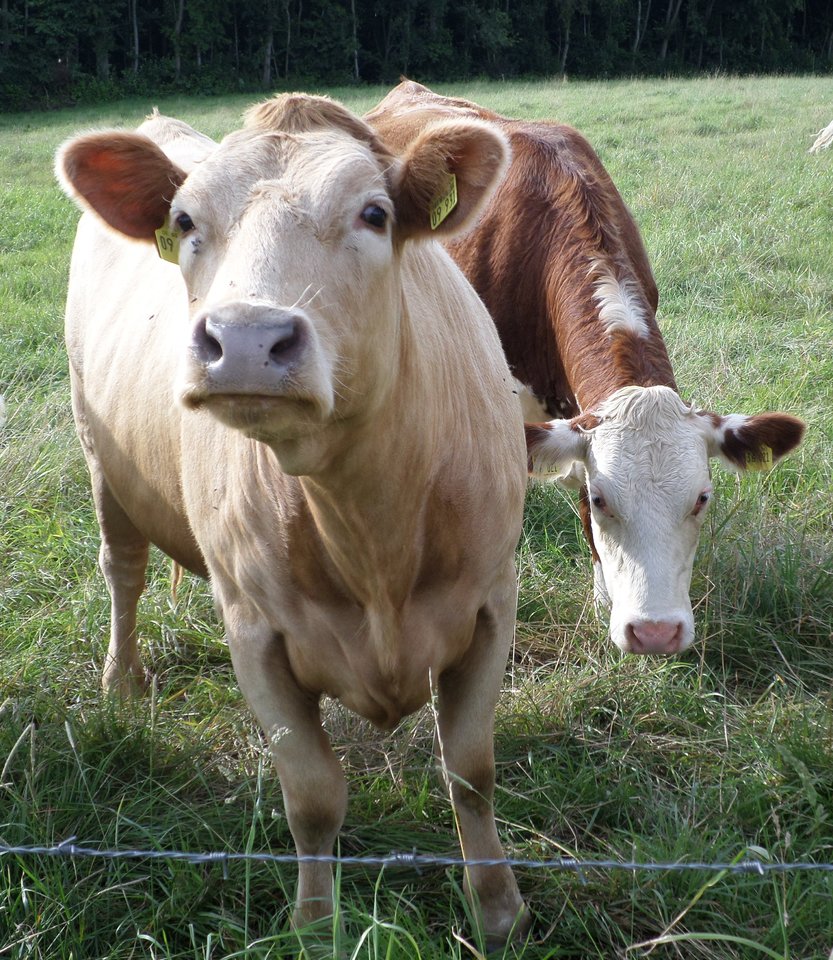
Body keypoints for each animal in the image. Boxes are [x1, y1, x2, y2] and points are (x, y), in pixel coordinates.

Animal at [55, 97, 528, 944]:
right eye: (184, 220)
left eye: (374, 213)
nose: (244, 339)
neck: (372, 532)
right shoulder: (255, 632)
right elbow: (311, 796)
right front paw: (314, 923)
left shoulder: (490, 601)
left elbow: (470, 772)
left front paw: (498, 911)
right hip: (99, 455)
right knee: (123, 574)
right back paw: (121, 684)